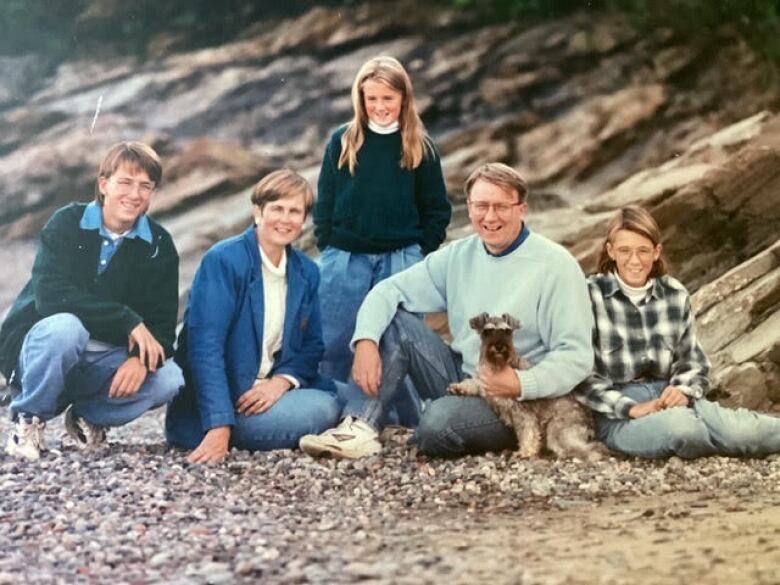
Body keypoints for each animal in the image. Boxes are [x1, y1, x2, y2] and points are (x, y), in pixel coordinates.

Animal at [448, 312, 608, 458]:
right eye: (487, 331)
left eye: (507, 331)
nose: (499, 346)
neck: (497, 366)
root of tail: (589, 418)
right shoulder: (484, 384)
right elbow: (473, 382)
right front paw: (458, 387)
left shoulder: (523, 412)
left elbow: (528, 432)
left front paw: (526, 451)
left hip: (558, 432)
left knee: (588, 448)